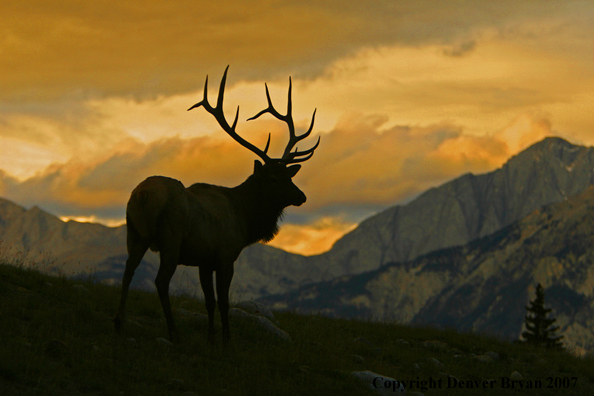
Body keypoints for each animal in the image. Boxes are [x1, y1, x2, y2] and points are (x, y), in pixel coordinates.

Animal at [114, 67, 320, 344]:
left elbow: (209, 302)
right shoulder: (225, 255)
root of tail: (142, 195)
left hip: (134, 233)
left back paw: (119, 323)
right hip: (171, 238)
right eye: (273, 179)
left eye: (289, 176)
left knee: (128, 270)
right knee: (160, 281)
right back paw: (174, 333)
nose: (301, 197)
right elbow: (223, 302)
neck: (246, 219)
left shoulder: (204, 261)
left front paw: (212, 339)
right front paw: (226, 341)